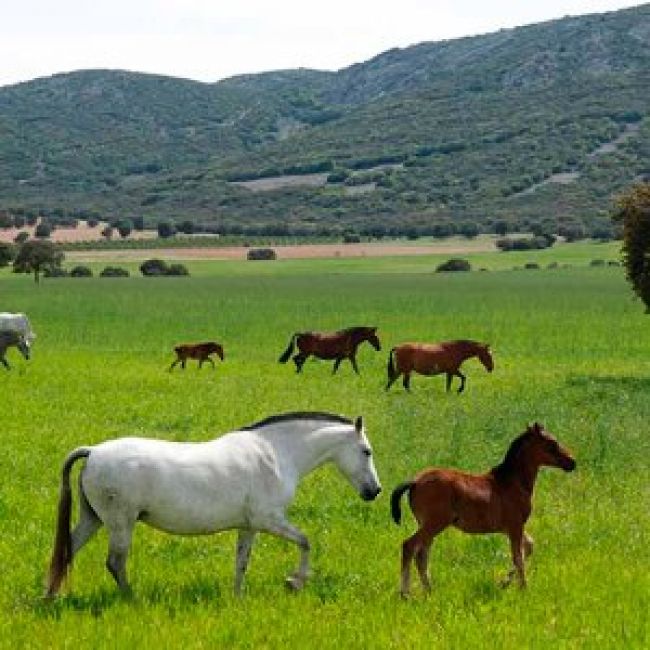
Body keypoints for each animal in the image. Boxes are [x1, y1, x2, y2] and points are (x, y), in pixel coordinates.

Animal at [46, 412, 380, 596]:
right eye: (366, 451)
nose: (374, 491)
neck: (275, 453)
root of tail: (93, 452)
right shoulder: (269, 520)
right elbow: (305, 542)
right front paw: (294, 583)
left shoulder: (249, 526)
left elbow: (241, 563)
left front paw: (237, 598)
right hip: (120, 524)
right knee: (115, 563)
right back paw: (133, 600)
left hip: (93, 519)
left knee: (66, 552)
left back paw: (49, 597)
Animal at [390, 420, 572, 596]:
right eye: (552, 442)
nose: (572, 462)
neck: (512, 481)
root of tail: (415, 481)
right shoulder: (515, 526)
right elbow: (518, 557)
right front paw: (523, 588)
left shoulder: (509, 528)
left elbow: (528, 546)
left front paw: (504, 583)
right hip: (434, 523)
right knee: (409, 546)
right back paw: (405, 593)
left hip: (427, 525)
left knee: (421, 554)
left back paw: (429, 591)